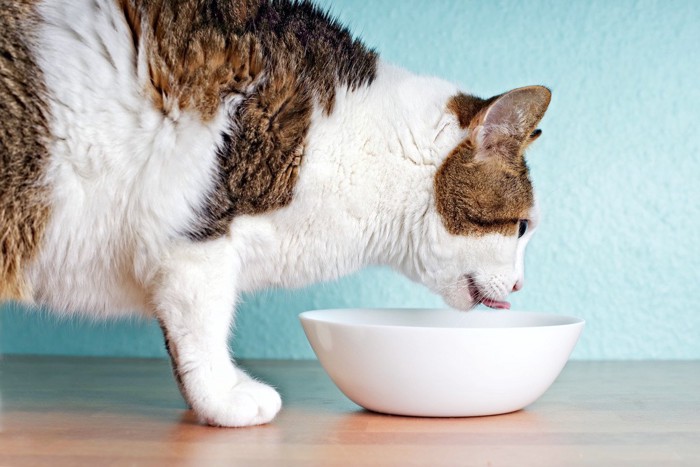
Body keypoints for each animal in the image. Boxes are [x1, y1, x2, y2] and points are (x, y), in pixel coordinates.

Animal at [1, 0, 552, 428]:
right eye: (522, 227)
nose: (522, 284)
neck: (367, 148)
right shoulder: (195, 234)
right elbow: (202, 322)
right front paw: (223, 398)